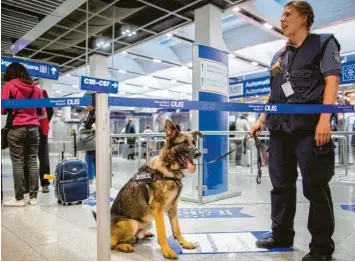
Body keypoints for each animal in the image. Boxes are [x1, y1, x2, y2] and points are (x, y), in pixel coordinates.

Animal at [96, 119, 203, 258]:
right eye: (184, 143)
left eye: (194, 142)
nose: (199, 153)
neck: (168, 169)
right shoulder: (158, 209)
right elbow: (162, 232)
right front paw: (167, 251)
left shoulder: (173, 207)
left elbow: (177, 228)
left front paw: (184, 243)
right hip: (131, 223)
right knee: (112, 243)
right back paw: (124, 246)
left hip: (148, 222)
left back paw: (143, 234)